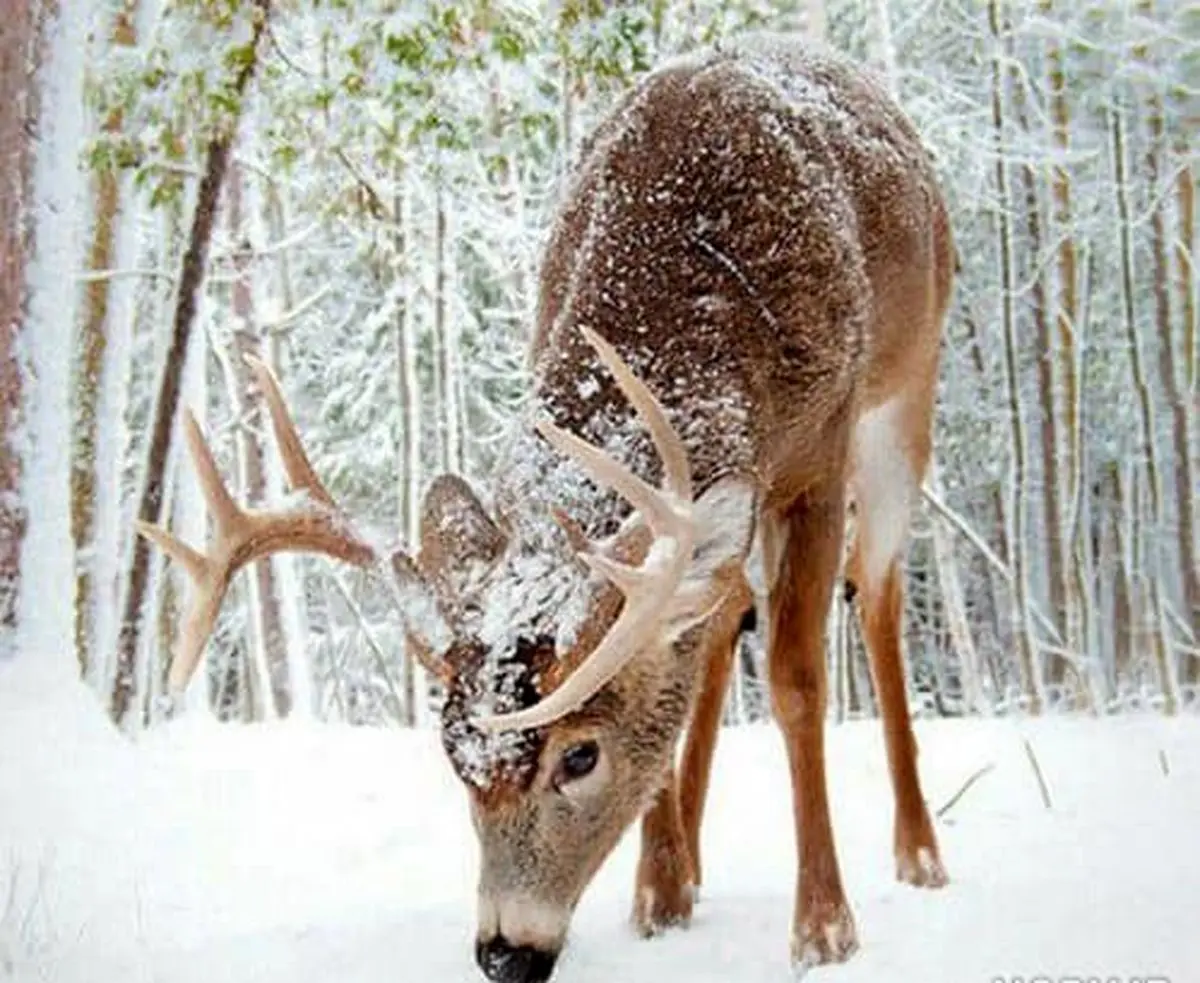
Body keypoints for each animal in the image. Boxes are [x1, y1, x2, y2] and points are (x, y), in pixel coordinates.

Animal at [136, 30, 950, 983]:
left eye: (581, 754)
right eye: (454, 757)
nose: (505, 951)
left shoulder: (818, 452)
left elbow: (796, 681)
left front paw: (824, 925)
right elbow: (677, 666)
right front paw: (658, 894)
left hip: (907, 395)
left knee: (878, 592)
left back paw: (919, 851)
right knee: (717, 620)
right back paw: (681, 870)